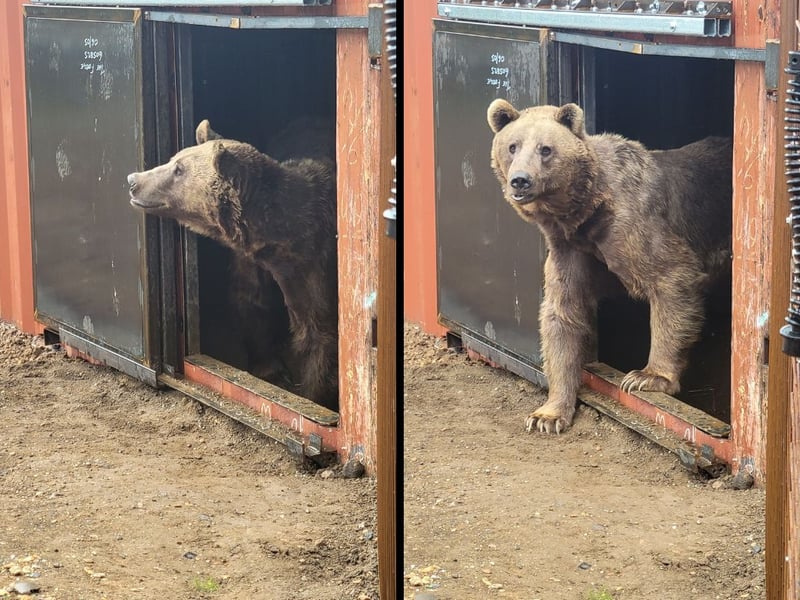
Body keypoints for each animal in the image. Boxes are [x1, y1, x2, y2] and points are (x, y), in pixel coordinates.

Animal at [128, 121, 339, 410]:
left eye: (178, 169)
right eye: (174, 159)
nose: (133, 180)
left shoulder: (315, 261)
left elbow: (319, 332)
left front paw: (312, 394)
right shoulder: (253, 263)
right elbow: (252, 305)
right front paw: (270, 371)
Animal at [487, 99, 732, 434]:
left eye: (546, 149)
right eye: (513, 146)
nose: (521, 180)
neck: (585, 215)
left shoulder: (632, 227)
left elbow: (671, 278)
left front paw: (647, 376)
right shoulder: (569, 250)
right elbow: (562, 314)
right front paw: (547, 415)